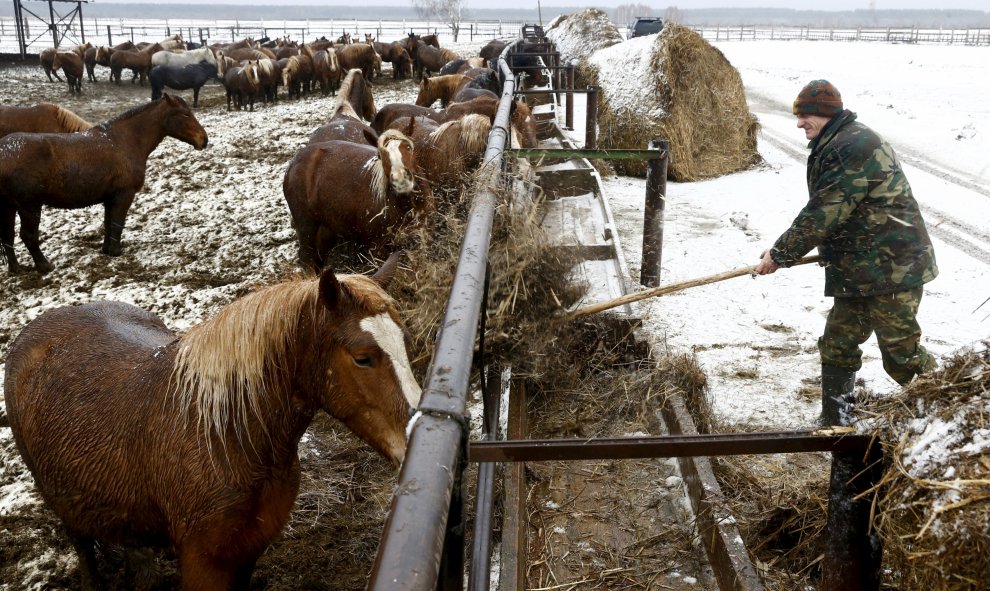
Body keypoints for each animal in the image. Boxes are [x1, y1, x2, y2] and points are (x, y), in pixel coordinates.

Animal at [0, 95, 209, 276]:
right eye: (185, 114)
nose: (204, 140)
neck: (123, 141)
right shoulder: (124, 195)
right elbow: (117, 223)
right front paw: (116, 251)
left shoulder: (110, 198)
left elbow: (108, 223)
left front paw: (107, 249)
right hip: (30, 207)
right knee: (28, 236)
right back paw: (44, 266)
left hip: (9, 206)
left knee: (8, 236)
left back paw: (16, 269)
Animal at [0, 254, 418, 591]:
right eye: (363, 358)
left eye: (404, 340)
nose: (411, 439)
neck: (226, 435)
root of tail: (34, 330)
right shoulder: (204, 563)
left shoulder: (249, 549)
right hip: (63, 505)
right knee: (84, 550)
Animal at [280, 131, 432, 272]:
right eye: (380, 155)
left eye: (408, 147)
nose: (400, 179)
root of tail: (293, 162)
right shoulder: (377, 247)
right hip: (306, 226)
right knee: (306, 257)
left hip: (326, 229)